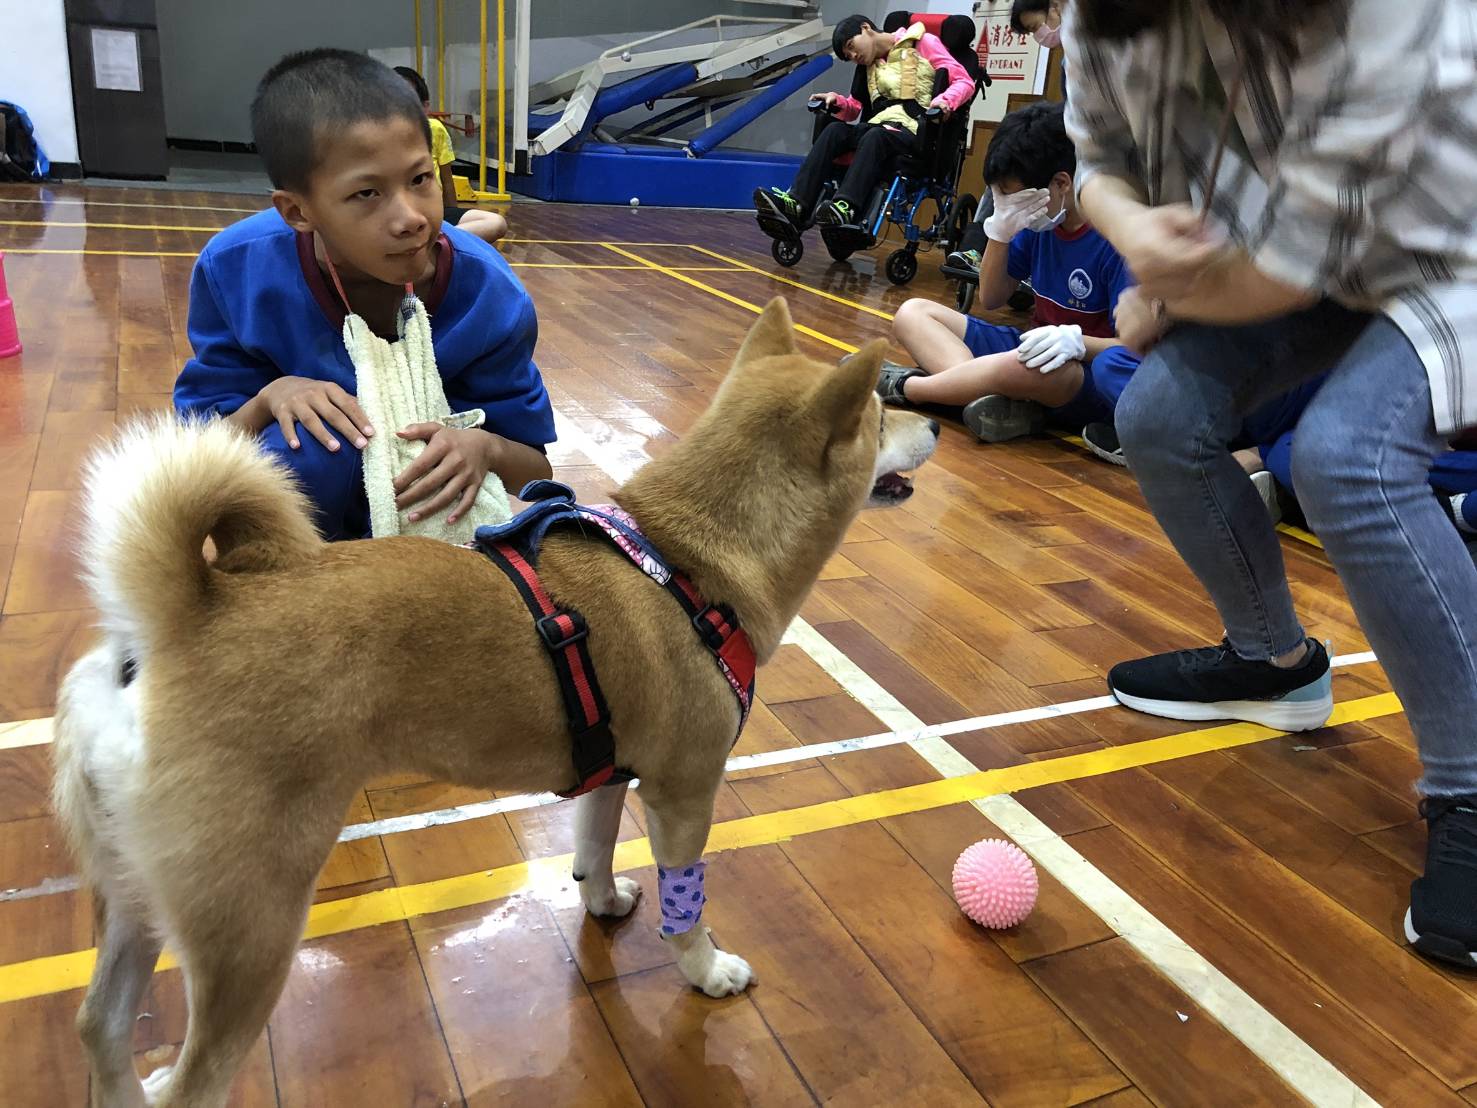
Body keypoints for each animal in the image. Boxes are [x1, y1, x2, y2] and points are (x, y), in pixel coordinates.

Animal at [52, 299, 939, 1105]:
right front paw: (705, 968)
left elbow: (592, 850)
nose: (930, 419)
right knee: (190, 1085)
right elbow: (686, 904)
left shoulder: (614, 774)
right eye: (882, 414)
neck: (687, 557)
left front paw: (605, 901)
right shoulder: (685, 794)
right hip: (251, 927)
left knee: (100, 1028)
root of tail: (177, 622)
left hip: (136, 901)